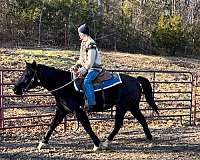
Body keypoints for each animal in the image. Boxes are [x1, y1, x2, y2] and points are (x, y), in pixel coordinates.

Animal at [13, 60, 159, 151]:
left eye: (27, 74)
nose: (15, 89)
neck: (64, 84)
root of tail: (136, 80)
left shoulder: (78, 110)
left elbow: (86, 125)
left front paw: (97, 144)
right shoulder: (62, 110)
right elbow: (52, 124)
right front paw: (42, 142)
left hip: (122, 107)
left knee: (118, 124)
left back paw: (106, 142)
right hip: (133, 106)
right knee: (142, 120)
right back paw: (149, 137)